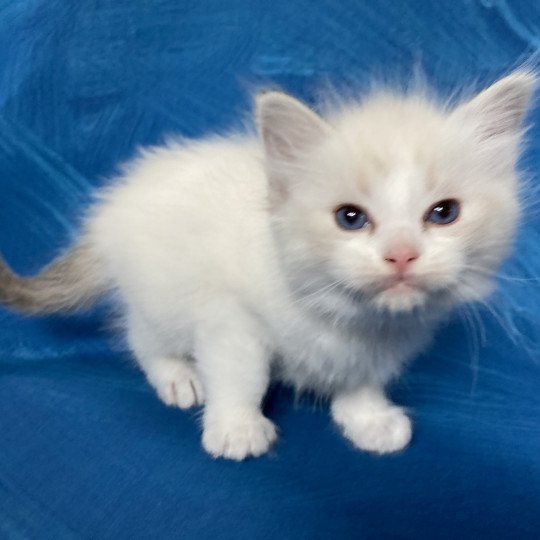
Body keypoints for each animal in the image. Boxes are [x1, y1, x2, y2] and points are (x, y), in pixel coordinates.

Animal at [0, 70, 532, 460]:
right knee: (139, 336)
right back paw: (177, 376)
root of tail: (112, 205)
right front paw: (237, 428)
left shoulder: (377, 344)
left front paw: (369, 419)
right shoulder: (230, 319)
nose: (401, 254)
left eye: (443, 213)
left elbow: (362, 378)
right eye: (350, 218)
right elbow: (242, 375)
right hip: (158, 294)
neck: (346, 316)